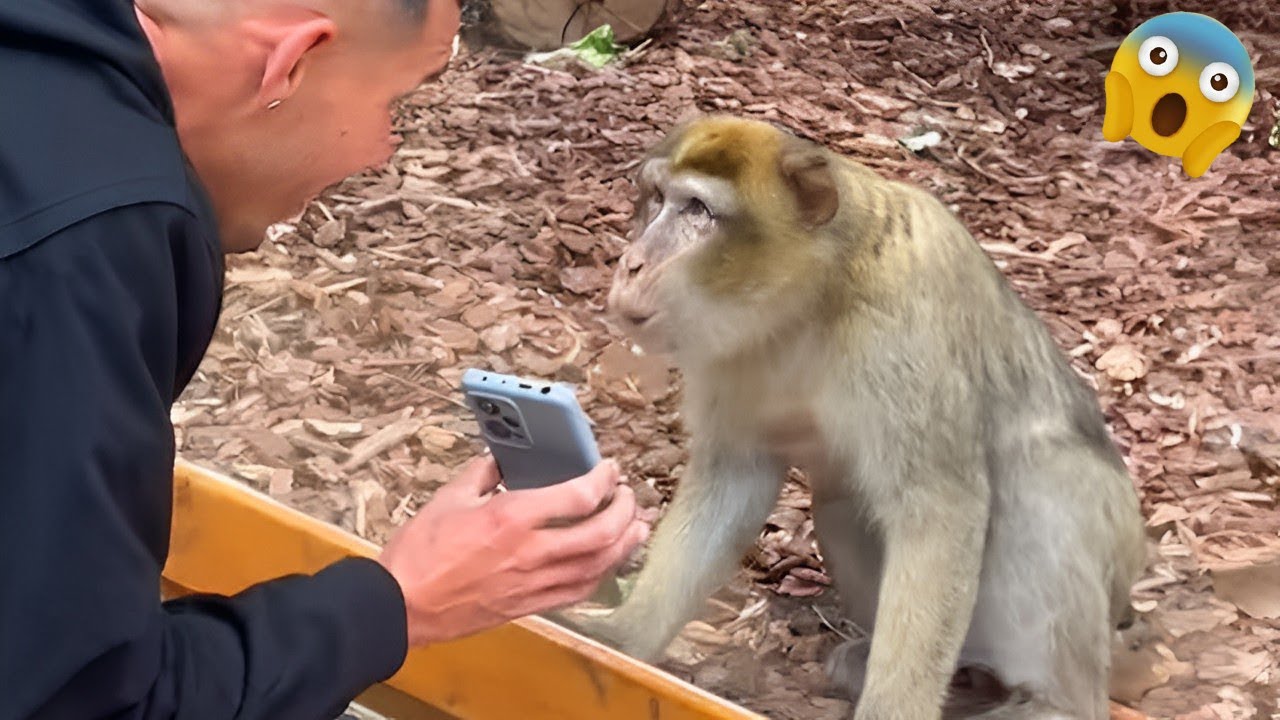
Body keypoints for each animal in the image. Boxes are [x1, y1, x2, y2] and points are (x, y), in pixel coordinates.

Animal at [564, 115, 1148, 720]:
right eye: (656, 199)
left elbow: (939, 512)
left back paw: (1054, 704)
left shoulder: (898, 331)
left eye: (697, 210)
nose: (632, 263)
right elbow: (735, 477)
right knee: (841, 504)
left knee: (1049, 490)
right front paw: (625, 635)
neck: (812, 298)